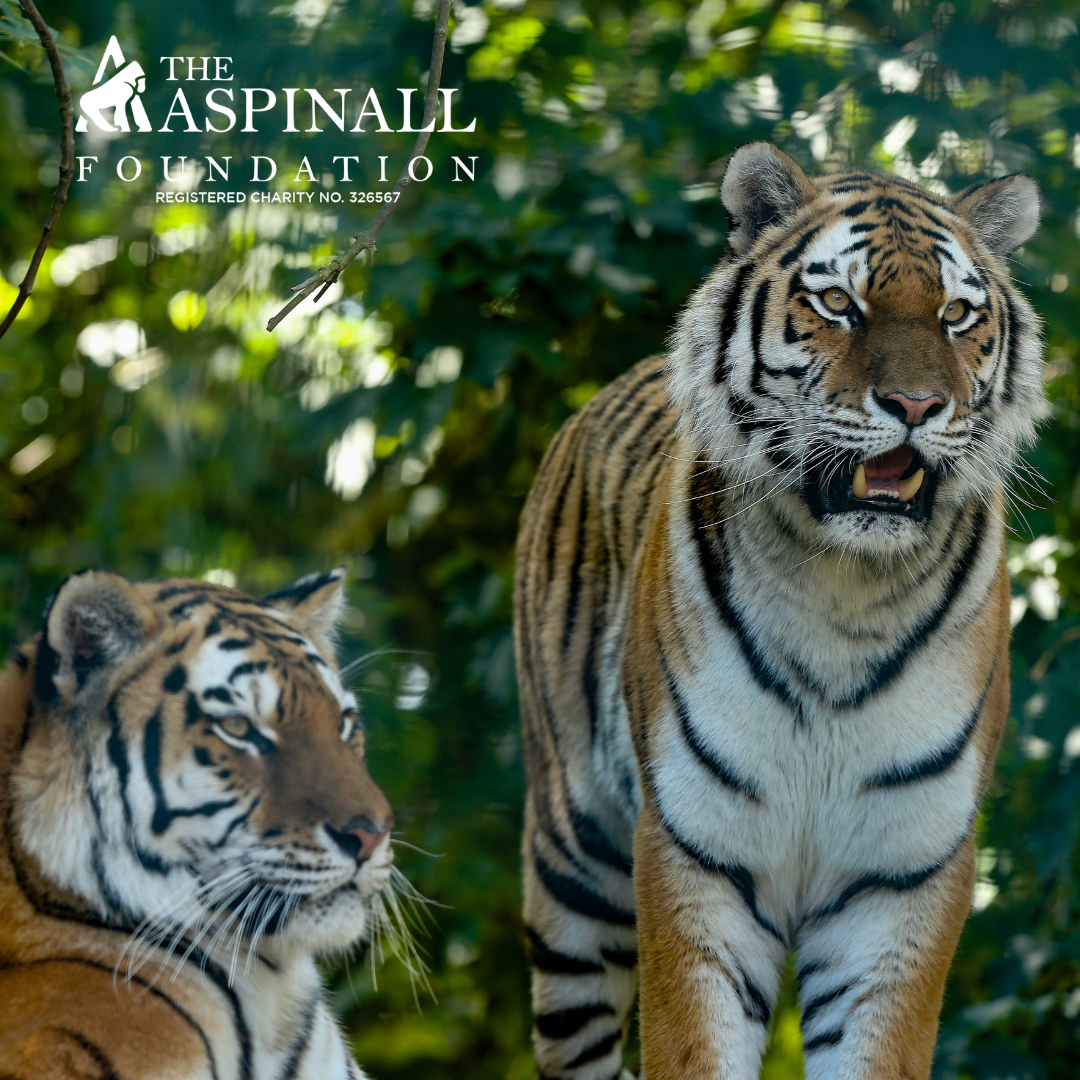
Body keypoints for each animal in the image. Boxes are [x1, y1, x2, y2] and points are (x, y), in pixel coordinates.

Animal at [515, 141, 1045, 1080]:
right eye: (838, 303)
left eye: (955, 315)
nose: (917, 407)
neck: (845, 591)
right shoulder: (695, 852)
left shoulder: (904, 875)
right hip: (571, 869)